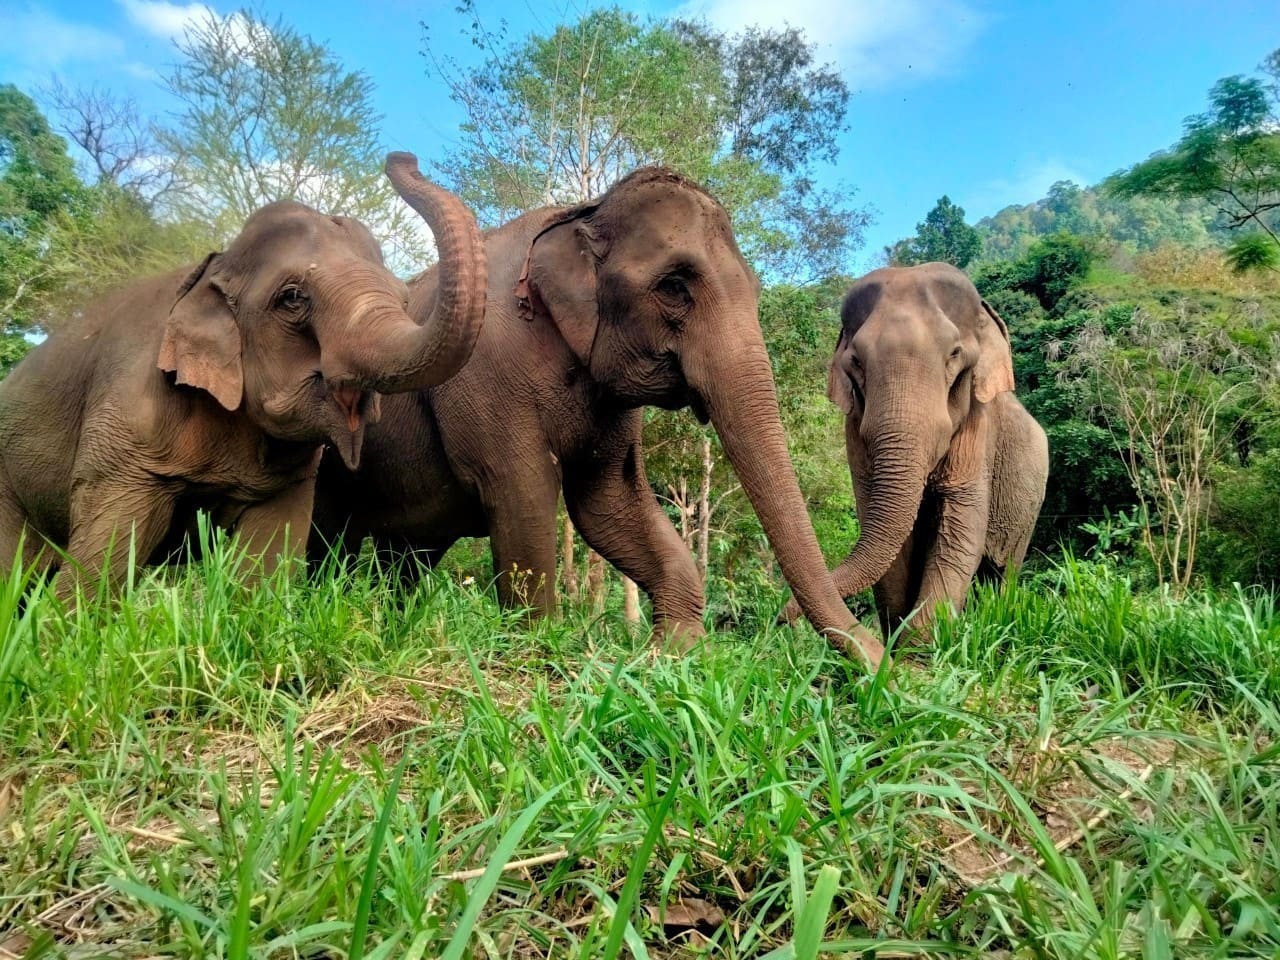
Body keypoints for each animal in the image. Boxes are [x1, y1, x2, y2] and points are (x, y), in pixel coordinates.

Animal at [0, 153, 486, 598]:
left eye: (404, 301)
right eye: (292, 298)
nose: (402, 157)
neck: (213, 266)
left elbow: (270, 544)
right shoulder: (127, 409)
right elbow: (112, 536)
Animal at [310, 165, 885, 668]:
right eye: (674, 286)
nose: (885, 667)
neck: (580, 214)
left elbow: (608, 501)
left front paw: (673, 651)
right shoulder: (482, 372)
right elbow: (521, 487)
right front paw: (537, 644)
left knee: (405, 557)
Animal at [784, 262, 1048, 639]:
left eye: (954, 354)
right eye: (856, 362)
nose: (783, 616)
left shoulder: (978, 429)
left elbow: (960, 531)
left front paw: (918, 650)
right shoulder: (854, 431)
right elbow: (891, 547)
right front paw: (898, 643)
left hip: (1027, 510)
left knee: (1002, 571)